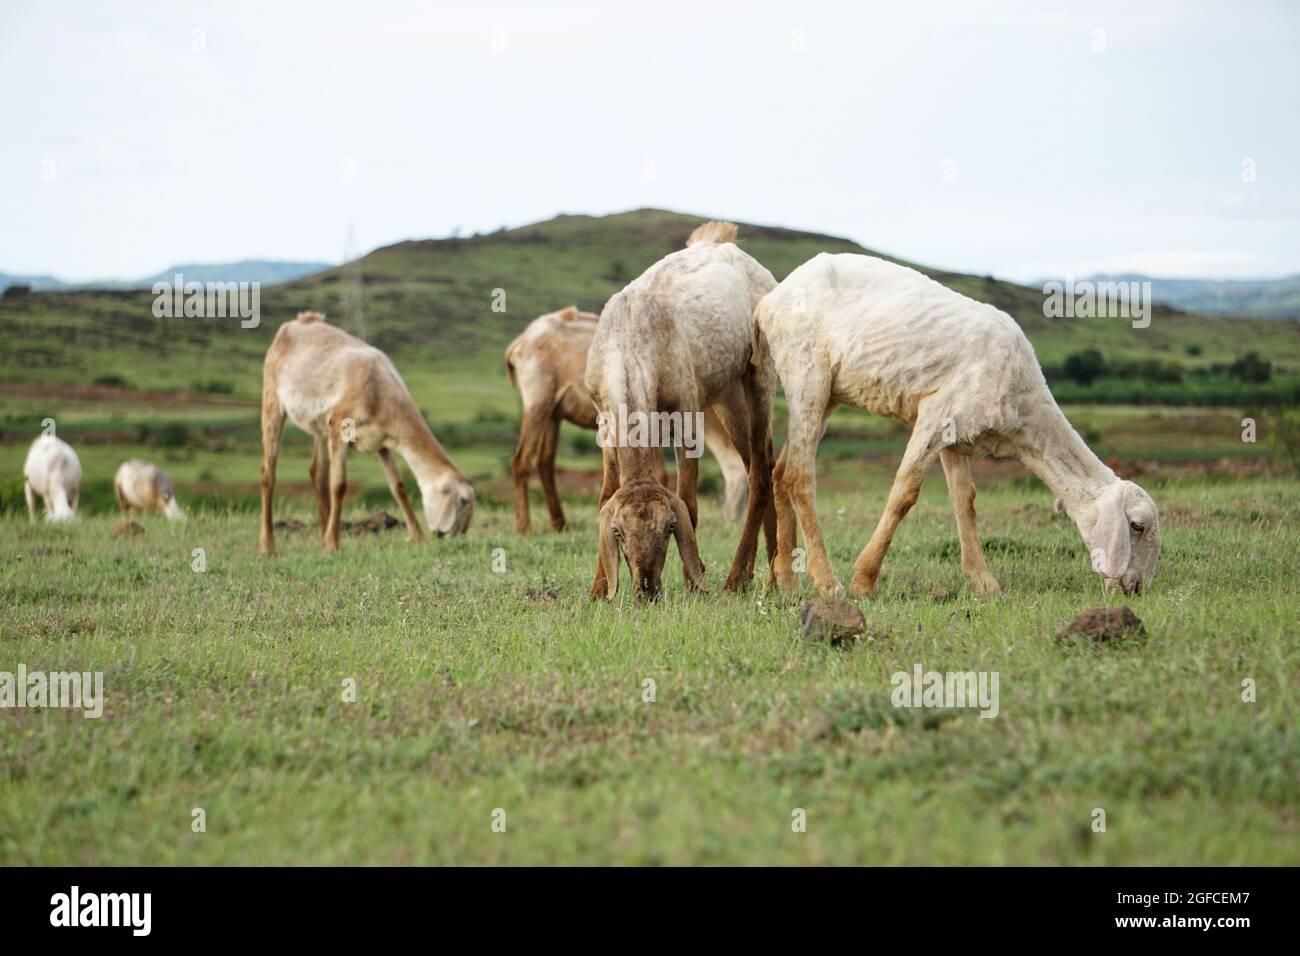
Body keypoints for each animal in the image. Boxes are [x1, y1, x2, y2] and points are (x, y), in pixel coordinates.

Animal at [256, 312, 475, 554]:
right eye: (462, 500)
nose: (455, 539)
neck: (380, 390)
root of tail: (299, 321)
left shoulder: (382, 442)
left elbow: (398, 487)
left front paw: (417, 537)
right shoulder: (340, 427)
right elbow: (339, 486)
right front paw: (334, 544)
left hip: (319, 424)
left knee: (317, 472)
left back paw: (322, 533)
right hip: (273, 402)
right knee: (268, 473)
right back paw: (268, 545)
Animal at [506, 304, 754, 535]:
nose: (733, 521)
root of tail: (520, 341)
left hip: (553, 414)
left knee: (544, 463)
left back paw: (559, 523)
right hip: (538, 403)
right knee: (522, 460)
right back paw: (524, 526)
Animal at [585, 223, 774, 598]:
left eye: (670, 528)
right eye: (618, 533)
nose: (647, 591)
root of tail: (721, 240)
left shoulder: (686, 413)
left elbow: (689, 501)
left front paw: (693, 582)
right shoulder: (605, 421)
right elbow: (605, 496)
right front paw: (599, 589)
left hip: (760, 375)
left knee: (761, 473)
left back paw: (741, 577)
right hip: (728, 395)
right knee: (766, 462)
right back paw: (773, 571)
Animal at [759, 254, 1164, 598]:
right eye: (1137, 526)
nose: (1135, 589)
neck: (1022, 417)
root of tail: (770, 300)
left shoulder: (957, 433)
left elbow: (964, 500)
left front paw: (984, 582)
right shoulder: (936, 413)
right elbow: (905, 494)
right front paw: (864, 580)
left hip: (827, 393)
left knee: (780, 470)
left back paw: (787, 580)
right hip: (807, 373)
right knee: (798, 474)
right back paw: (828, 582)